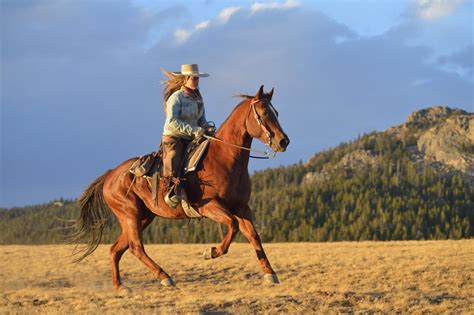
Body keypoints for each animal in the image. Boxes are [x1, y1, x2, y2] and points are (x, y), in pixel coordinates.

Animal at [72, 86, 290, 292]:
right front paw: (210, 252)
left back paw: (120, 287)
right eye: (264, 113)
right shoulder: (208, 206)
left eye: (277, 112)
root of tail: (110, 175)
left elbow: (253, 236)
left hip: (142, 217)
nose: (283, 141)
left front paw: (270, 274)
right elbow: (233, 226)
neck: (225, 158)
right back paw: (165, 277)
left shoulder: (242, 207)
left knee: (116, 249)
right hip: (130, 214)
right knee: (135, 247)